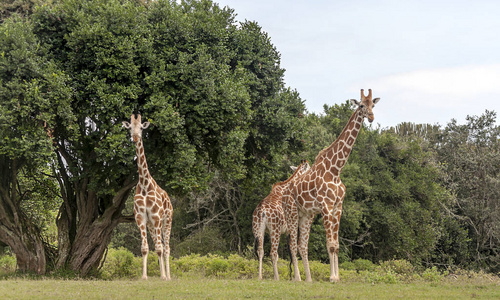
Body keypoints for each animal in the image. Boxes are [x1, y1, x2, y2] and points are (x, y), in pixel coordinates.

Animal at [123, 113, 174, 280]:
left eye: (141, 128)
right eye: (130, 128)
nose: (135, 137)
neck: (145, 185)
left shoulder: (157, 217)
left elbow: (159, 248)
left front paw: (163, 277)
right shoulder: (141, 218)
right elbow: (145, 248)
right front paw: (144, 276)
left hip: (167, 221)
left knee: (166, 247)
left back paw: (168, 277)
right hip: (152, 225)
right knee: (161, 245)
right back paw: (163, 275)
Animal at [284, 88, 380, 282]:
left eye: (372, 105)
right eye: (361, 105)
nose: (371, 117)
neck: (336, 170)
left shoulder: (338, 206)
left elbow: (336, 244)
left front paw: (337, 277)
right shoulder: (326, 206)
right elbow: (330, 244)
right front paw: (332, 277)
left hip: (305, 215)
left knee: (301, 244)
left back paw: (308, 279)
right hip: (291, 212)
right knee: (292, 243)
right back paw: (297, 278)